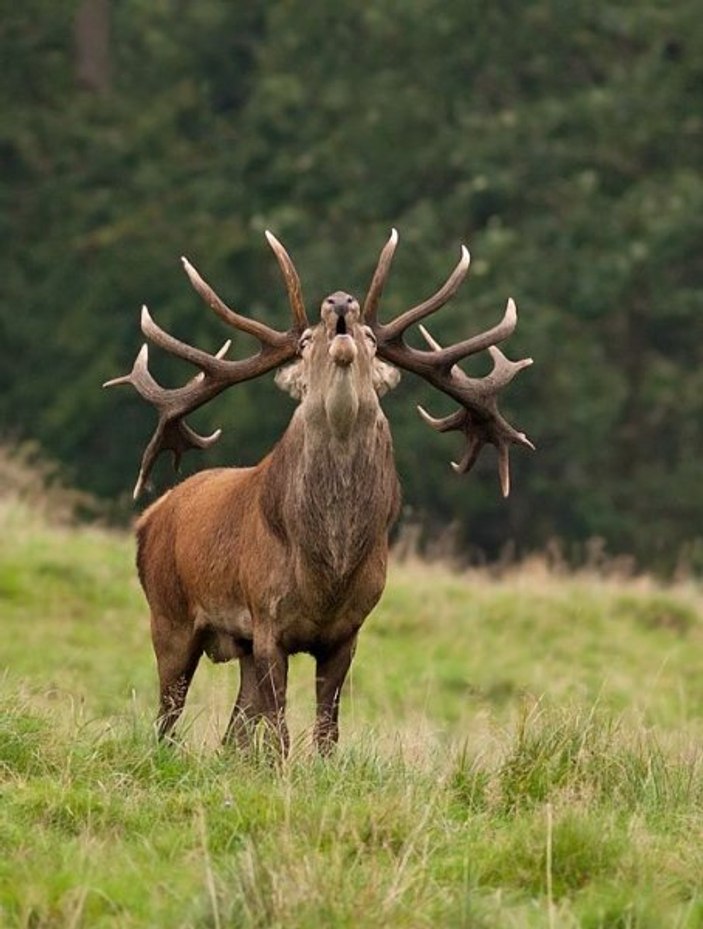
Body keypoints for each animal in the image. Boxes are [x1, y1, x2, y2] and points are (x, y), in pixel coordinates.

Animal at [106, 228, 532, 752]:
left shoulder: (347, 629)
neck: (329, 571)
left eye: (371, 339)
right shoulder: (267, 618)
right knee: (167, 715)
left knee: (232, 730)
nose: (340, 301)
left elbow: (326, 728)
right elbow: (280, 727)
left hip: (235, 641)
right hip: (168, 613)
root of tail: (149, 516)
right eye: (306, 341)